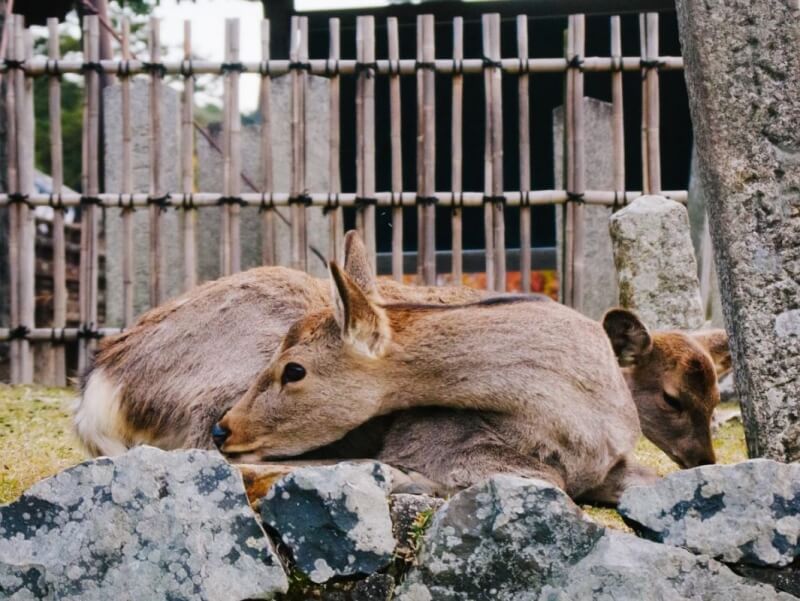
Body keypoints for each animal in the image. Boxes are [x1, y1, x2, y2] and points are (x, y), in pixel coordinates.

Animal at [76, 232, 732, 494]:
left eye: (714, 394)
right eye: (672, 396)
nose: (705, 457)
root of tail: (97, 389)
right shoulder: (434, 437)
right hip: (212, 395)